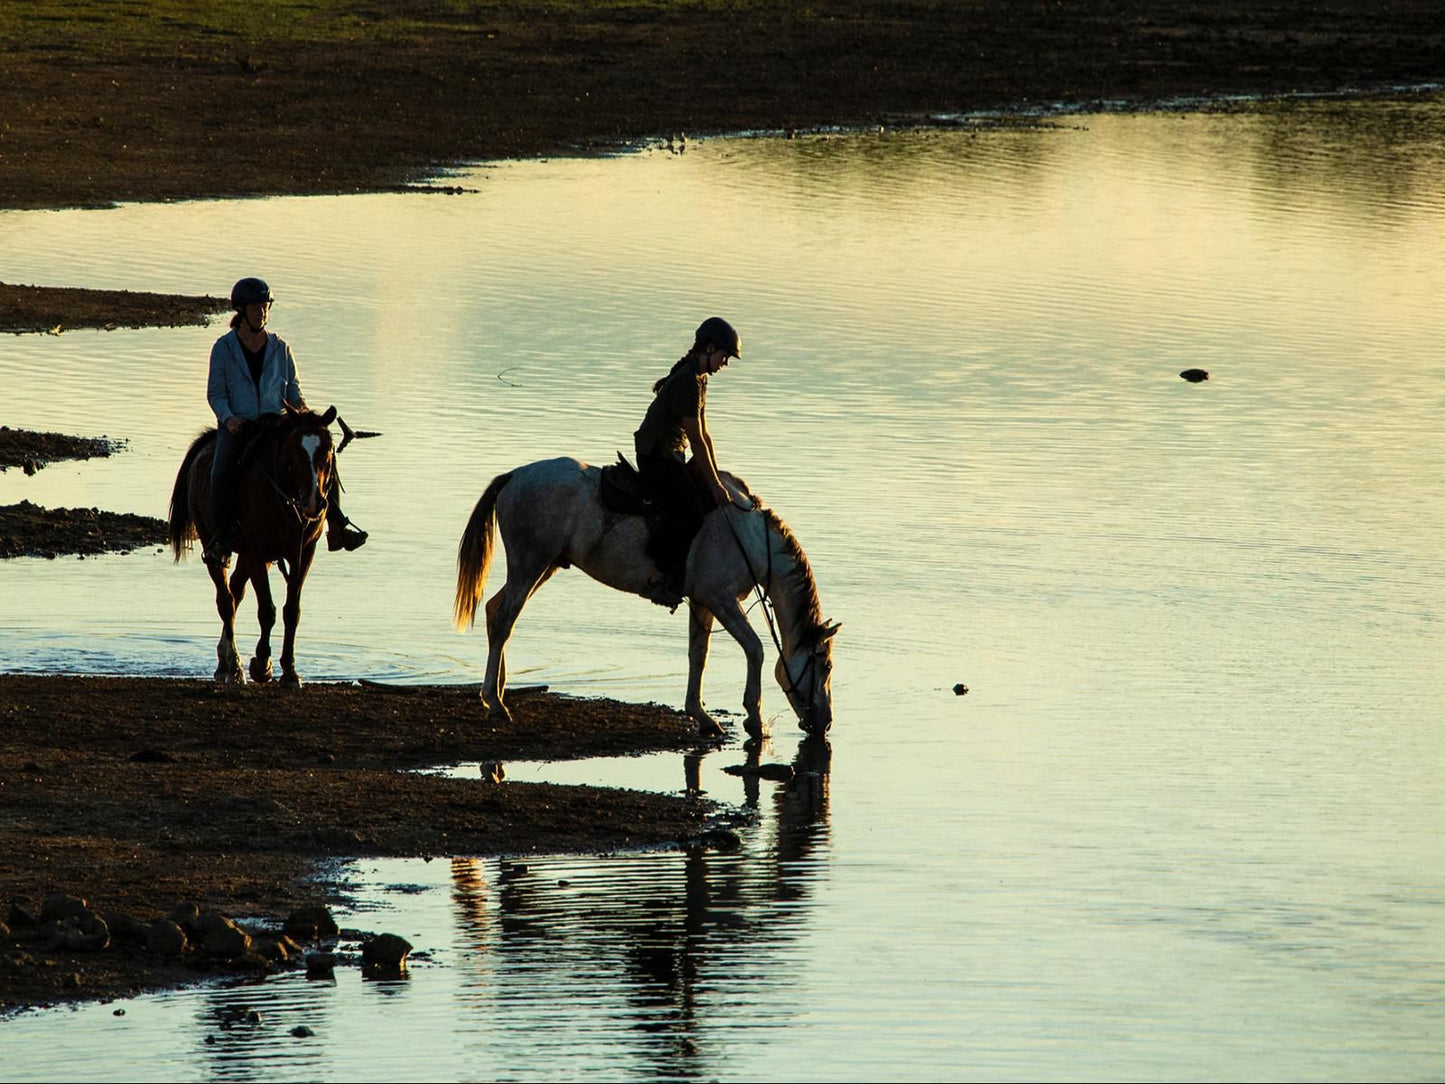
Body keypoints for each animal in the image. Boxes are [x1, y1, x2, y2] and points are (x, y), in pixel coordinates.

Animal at [169, 404, 338, 690]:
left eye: (328, 448)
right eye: (295, 449)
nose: (315, 501)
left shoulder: (303, 554)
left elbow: (291, 611)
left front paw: (290, 671)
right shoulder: (257, 552)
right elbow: (267, 611)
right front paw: (261, 665)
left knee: (235, 592)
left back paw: (224, 661)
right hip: (217, 545)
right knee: (225, 601)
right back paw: (233, 668)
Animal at [450, 459, 838, 740]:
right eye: (826, 665)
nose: (826, 723)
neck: (749, 538)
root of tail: (515, 476)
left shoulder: (703, 603)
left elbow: (698, 655)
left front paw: (701, 715)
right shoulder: (723, 600)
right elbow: (755, 650)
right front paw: (754, 720)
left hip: (543, 565)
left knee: (495, 611)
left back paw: (497, 692)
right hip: (530, 563)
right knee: (504, 619)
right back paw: (496, 704)